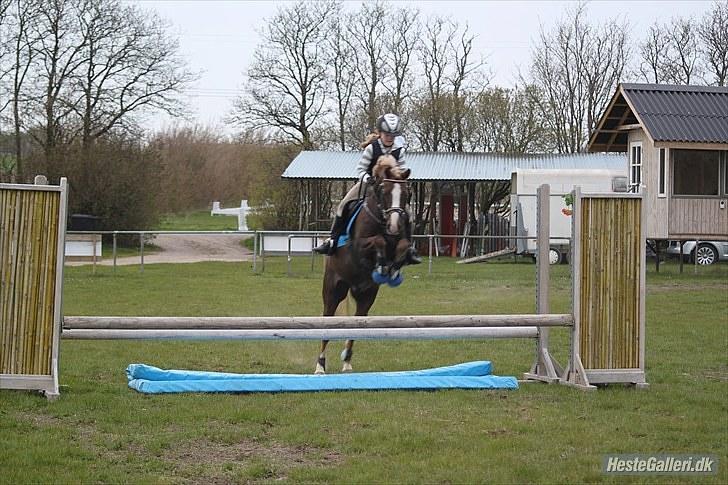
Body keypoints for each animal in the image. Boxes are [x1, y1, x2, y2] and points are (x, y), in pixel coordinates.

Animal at [316, 155, 412, 374]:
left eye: (406, 194)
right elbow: (378, 241)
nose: (394, 225)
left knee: (357, 321)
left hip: (366, 295)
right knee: (327, 320)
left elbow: (402, 246)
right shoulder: (359, 245)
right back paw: (320, 365)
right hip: (333, 290)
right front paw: (382, 264)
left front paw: (392, 270)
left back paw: (347, 361)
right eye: (384, 192)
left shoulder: (400, 240)